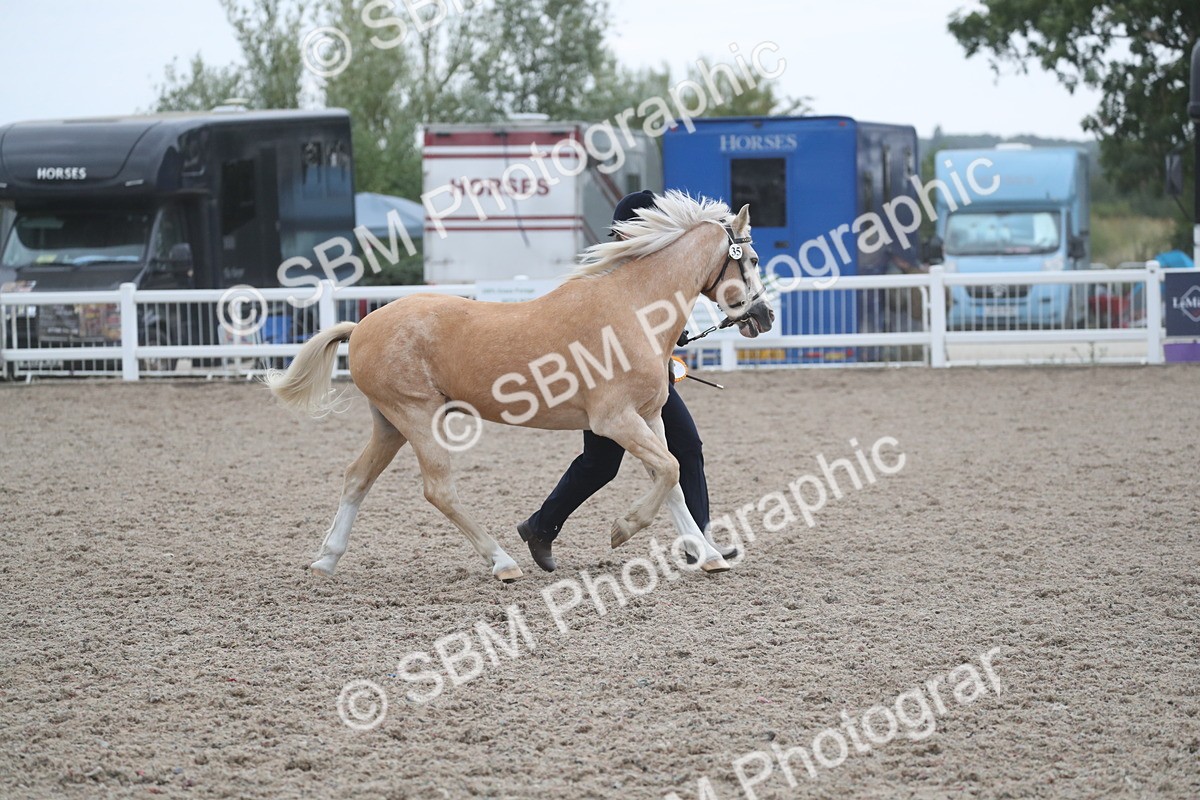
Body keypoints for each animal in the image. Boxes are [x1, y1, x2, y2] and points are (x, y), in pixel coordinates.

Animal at [266, 191, 774, 582]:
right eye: (749, 260)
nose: (764, 317)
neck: (633, 309)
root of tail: (361, 327)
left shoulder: (650, 417)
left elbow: (672, 479)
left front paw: (708, 555)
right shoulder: (616, 421)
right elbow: (669, 471)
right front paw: (622, 529)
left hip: (389, 423)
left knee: (357, 478)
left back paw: (326, 560)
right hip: (417, 416)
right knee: (439, 490)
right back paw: (503, 562)